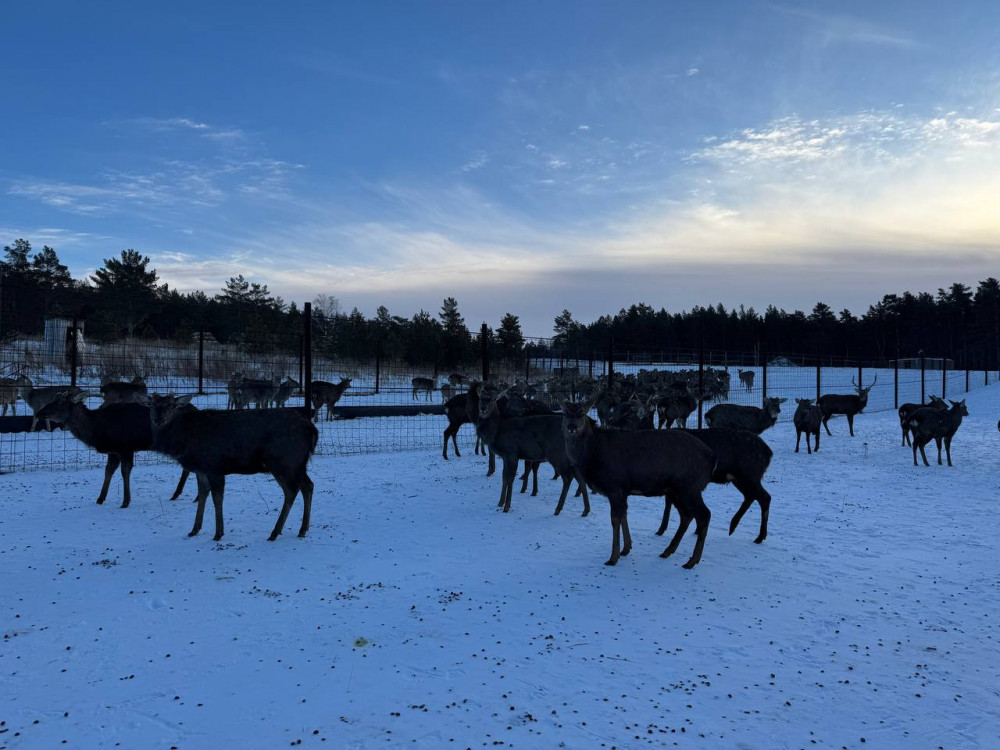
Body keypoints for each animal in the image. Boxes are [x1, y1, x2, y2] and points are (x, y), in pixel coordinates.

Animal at [33, 394, 192, 512]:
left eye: (61, 402)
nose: (39, 412)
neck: (97, 431)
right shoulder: (114, 451)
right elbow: (108, 470)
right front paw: (100, 498)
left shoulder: (126, 447)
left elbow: (124, 471)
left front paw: (125, 501)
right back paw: (179, 494)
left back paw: (178, 494)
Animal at [140, 390, 316, 544]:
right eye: (152, 405)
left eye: (171, 406)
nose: (158, 420)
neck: (185, 442)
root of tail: (312, 429)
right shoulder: (201, 469)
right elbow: (202, 494)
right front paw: (194, 530)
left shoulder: (214, 466)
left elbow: (217, 498)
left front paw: (218, 533)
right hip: (298, 463)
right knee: (308, 485)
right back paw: (302, 529)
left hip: (282, 460)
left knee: (292, 490)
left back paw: (275, 532)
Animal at [564, 400, 720, 568]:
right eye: (564, 413)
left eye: (582, 414)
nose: (571, 427)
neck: (594, 455)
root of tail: (712, 458)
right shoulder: (623, 490)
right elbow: (624, 515)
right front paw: (626, 549)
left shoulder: (615, 486)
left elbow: (615, 519)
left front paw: (613, 557)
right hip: (675, 490)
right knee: (687, 515)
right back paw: (667, 551)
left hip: (689, 487)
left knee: (704, 514)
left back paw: (692, 561)